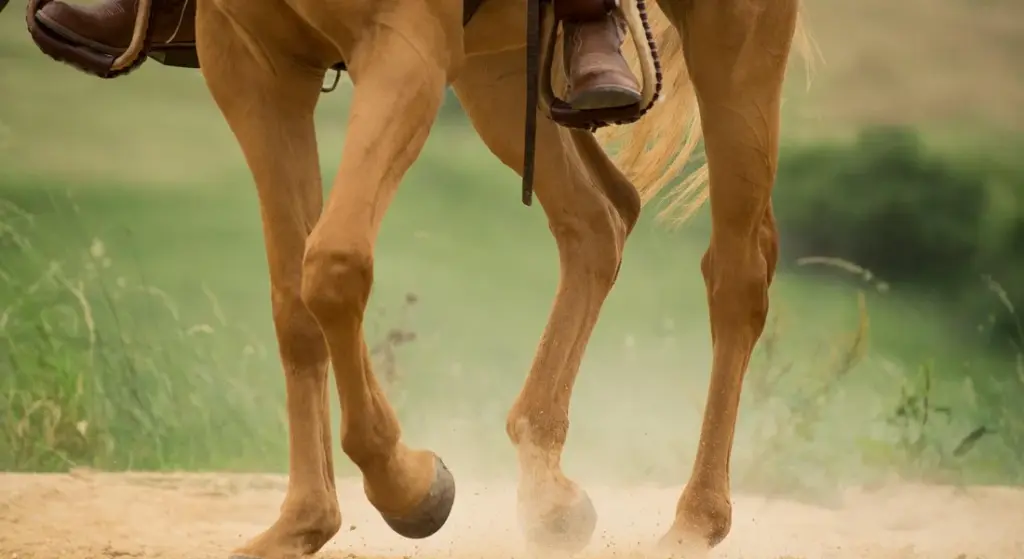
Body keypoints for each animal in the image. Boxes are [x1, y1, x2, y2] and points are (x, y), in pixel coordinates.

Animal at [25, 0, 810, 556]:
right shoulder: (249, 57)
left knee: (737, 272)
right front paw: (302, 523)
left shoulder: (402, 46)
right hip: (500, 70)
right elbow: (292, 295)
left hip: (735, 33)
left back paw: (695, 519)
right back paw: (547, 491)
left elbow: (332, 267)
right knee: (599, 220)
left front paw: (406, 488)